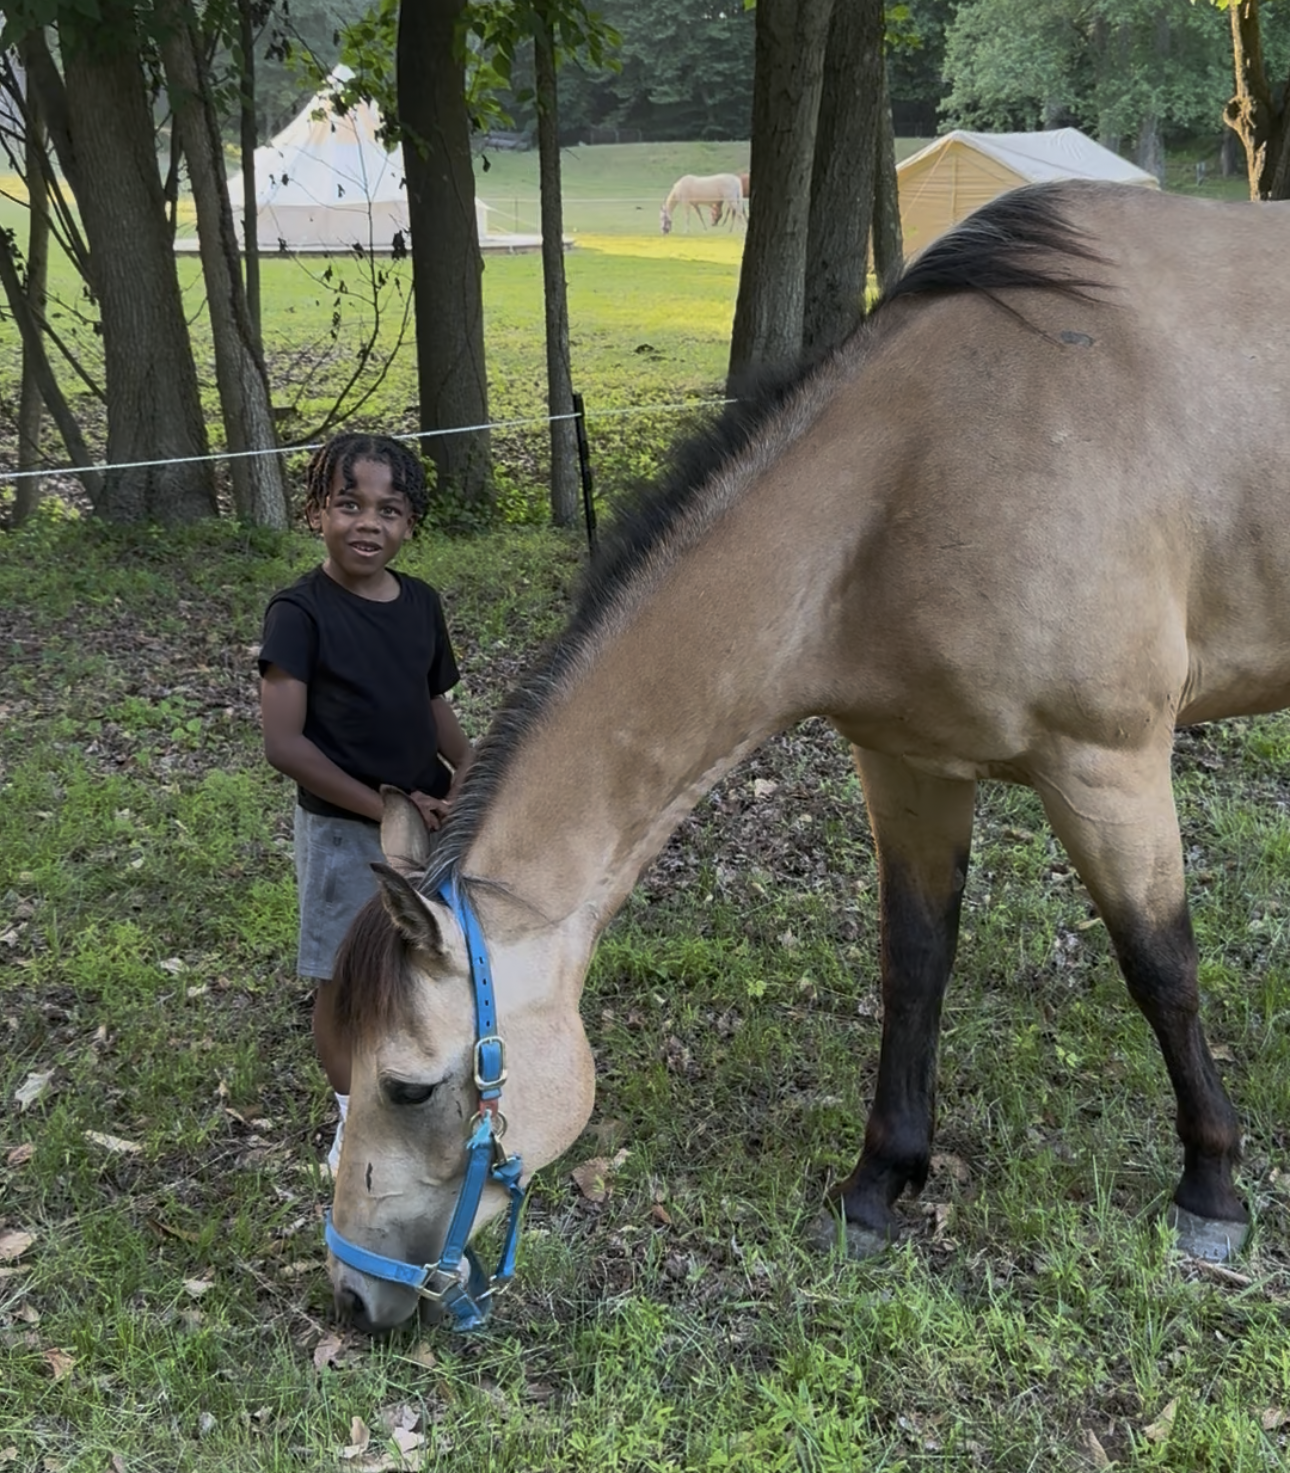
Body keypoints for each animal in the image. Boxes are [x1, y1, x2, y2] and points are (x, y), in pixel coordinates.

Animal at [326, 181, 1290, 1333]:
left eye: (409, 1086)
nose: (352, 1293)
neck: (923, 470)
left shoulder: (1110, 766)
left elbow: (1162, 969)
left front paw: (1212, 1188)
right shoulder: (912, 767)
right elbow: (915, 967)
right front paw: (878, 1187)